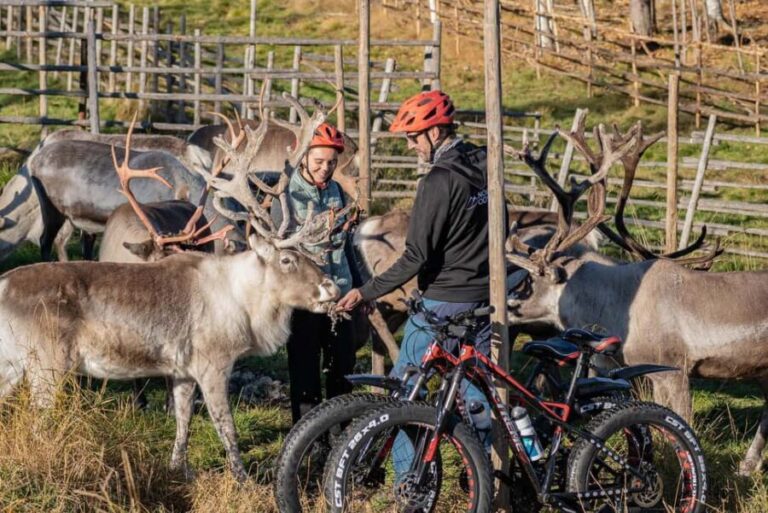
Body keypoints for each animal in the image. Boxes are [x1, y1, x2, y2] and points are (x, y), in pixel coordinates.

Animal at [0, 93, 347, 482]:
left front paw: (178, 468)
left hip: (10, 365)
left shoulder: (181, 371)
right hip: (46, 367)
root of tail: (3, 285)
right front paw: (242, 477)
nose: (331, 288)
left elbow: (183, 421)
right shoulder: (213, 363)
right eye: (287, 260)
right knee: (38, 423)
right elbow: (225, 426)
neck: (243, 302)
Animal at [503, 114, 768, 476]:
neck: (612, 304)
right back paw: (747, 465)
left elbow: (681, 422)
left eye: (533, 277)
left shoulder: (673, 368)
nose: (504, 304)